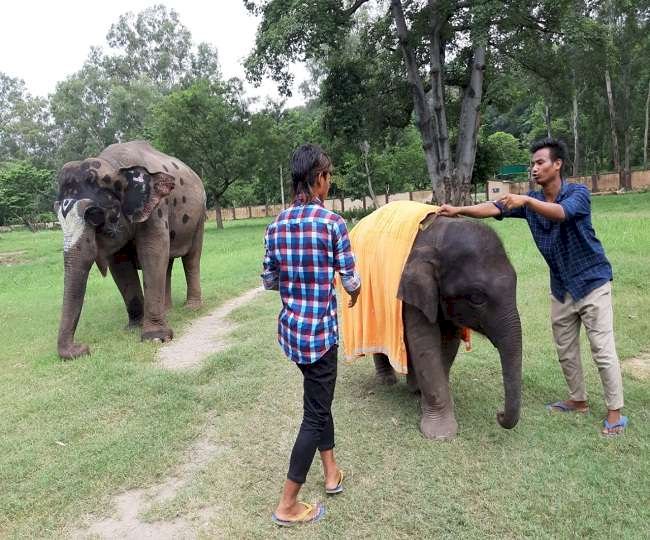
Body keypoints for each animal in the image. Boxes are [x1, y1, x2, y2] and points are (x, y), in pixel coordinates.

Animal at [53, 139, 205, 358]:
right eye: (56, 215)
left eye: (95, 215)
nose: (82, 348)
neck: (113, 165)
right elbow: (120, 264)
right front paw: (134, 327)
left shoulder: (156, 209)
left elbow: (152, 252)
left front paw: (156, 338)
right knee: (167, 264)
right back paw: (168, 310)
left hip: (200, 215)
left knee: (192, 258)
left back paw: (192, 308)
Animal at [342, 205, 520, 440]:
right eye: (476, 298)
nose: (499, 415)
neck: (438, 238)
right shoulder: (411, 290)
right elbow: (425, 342)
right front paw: (440, 434)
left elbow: (447, 341)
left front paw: (421, 394)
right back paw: (387, 381)